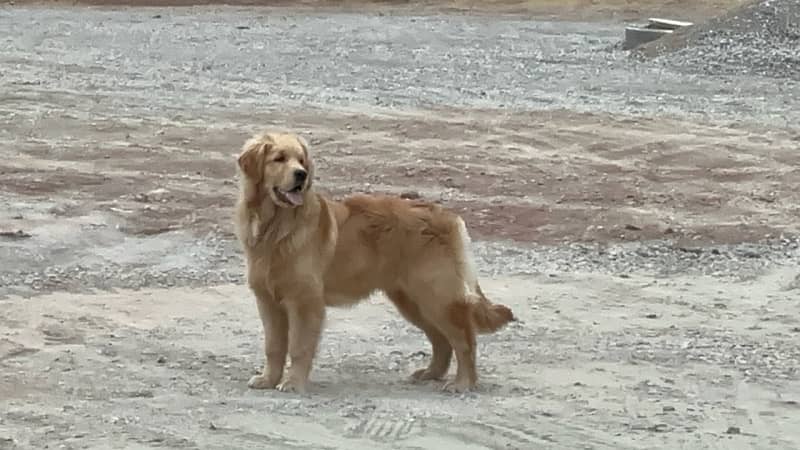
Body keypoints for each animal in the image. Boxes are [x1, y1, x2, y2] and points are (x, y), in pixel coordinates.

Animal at [234, 131, 516, 394]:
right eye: (279, 158)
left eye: (301, 161)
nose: (301, 175)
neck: (276, 227)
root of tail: (448, 215)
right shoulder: (268, 301)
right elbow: (273, 347)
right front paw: (268, 379)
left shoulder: (305, 302)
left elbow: (299, 347)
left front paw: (293, 383)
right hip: (412, 301)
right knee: (441, 340)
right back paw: (430, 374)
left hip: (436, 296)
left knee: (464, 339)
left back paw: (463, 383)